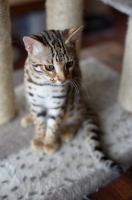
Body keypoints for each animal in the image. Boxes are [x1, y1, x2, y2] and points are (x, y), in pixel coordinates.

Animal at [20, 26, 122, 173]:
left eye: (69, 63)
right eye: (49, 67)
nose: (63, 80)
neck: (45, 85)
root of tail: (84, 101)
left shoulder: (58, 103)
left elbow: (53, 125)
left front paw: (50, 143)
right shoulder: (35, 102)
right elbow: (39, 123)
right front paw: (39, 138)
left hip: (74, 103)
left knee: (80, 114)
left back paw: (68, 130)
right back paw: (29, 118)